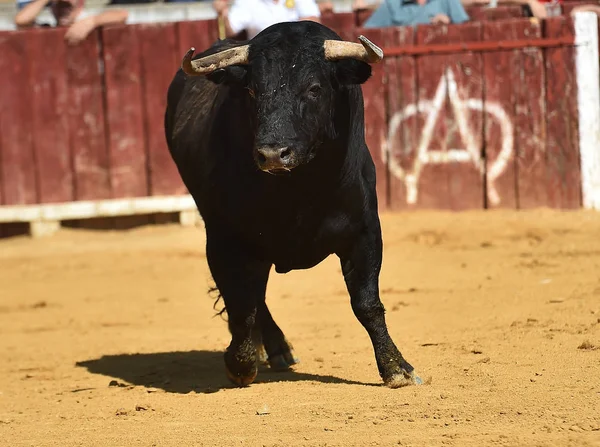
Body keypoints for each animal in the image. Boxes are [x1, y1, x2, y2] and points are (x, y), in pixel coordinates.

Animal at [162, 20, 420, 388]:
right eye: (252, 91)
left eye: (313, 88)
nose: (272, 154)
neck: (298, 189)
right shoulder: (223, 239)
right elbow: (240, 305)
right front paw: (240, 364)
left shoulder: (365, 231)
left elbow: (367, 302)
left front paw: (396, 367)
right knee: (252, 296)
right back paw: (272, 349)